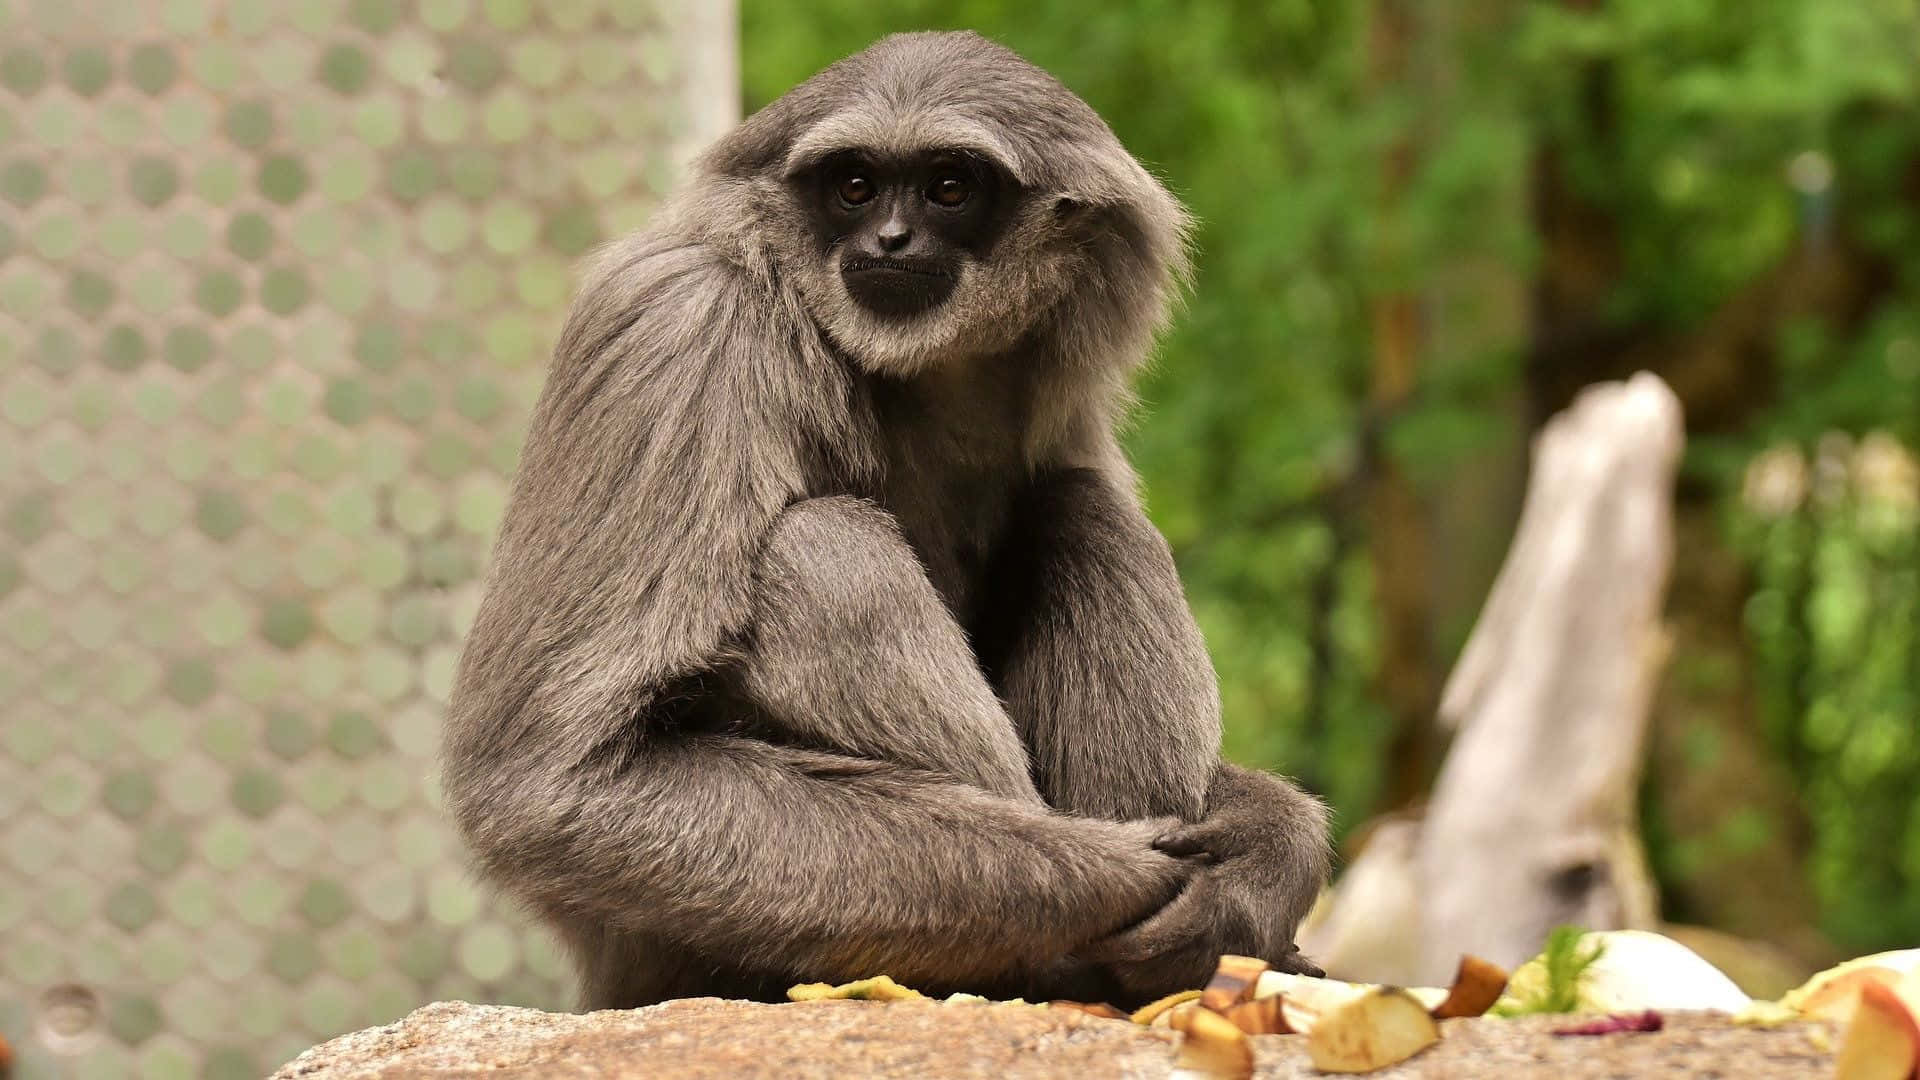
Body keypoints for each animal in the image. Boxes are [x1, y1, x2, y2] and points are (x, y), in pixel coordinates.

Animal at [442, 30, 1331, 1010]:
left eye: (948, 187)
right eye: (856, 186)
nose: (889, 237)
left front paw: (1261, 858)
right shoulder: (676, 324)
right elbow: (549, 783)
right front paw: (1153, 878)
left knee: (1081, 508)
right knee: (822, 543)